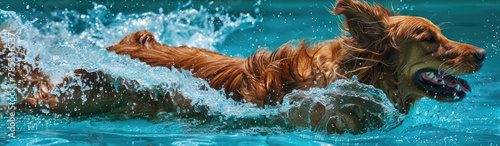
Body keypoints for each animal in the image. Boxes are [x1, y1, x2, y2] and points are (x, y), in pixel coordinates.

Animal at [0, 0, 484, 134]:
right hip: (70, 102)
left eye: (442, 34)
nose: (481, 54)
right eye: (429, 38)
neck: (353, 77)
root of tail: (116, 46)